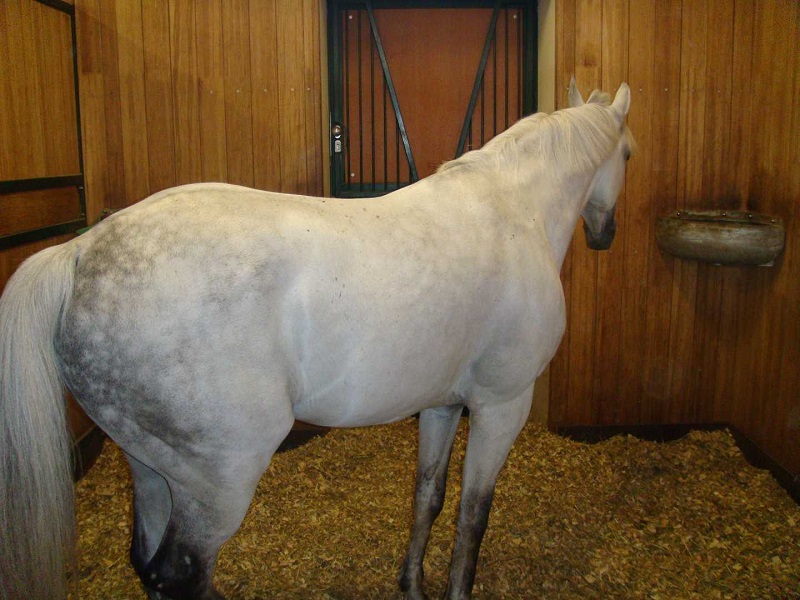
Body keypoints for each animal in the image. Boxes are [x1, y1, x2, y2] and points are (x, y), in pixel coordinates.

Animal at [0, 79, 631, 600]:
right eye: (627, 154)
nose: (605, 235)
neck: (513, 210)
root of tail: (81, 251)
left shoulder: (443, 405)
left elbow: (428, 498)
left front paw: (412, 585)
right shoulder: (503, 405)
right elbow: (473, 516)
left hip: (151, 469)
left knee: (146, 563)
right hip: (219, 482)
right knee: (178, 576)